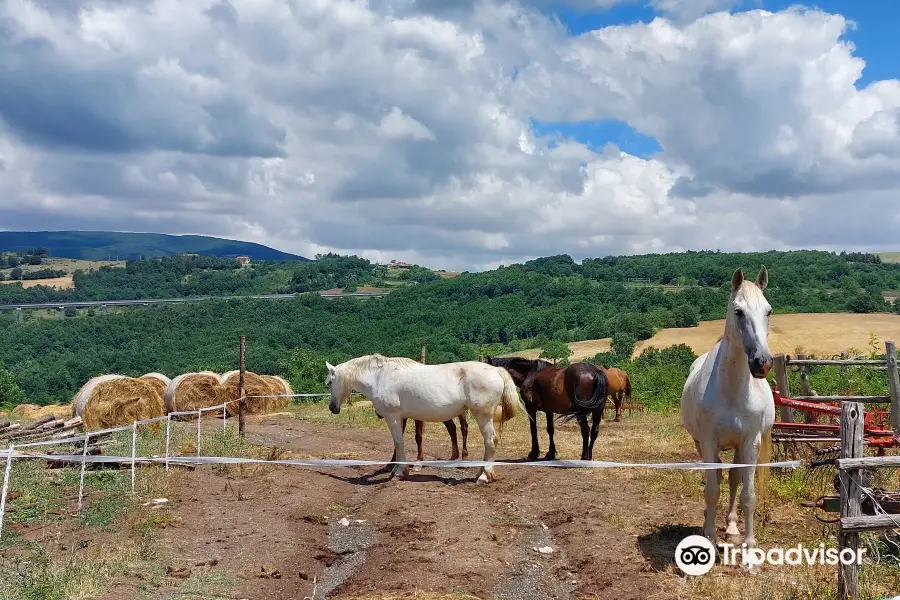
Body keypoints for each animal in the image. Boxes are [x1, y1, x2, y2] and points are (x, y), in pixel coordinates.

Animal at [326, 354, 524, 486]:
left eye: (329, 383)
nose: (332, 407)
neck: (379, 377)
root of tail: (496, 370)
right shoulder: (401, 417)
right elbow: (399, 443)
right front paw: (399, 469)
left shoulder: (393, 416)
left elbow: (399, 442)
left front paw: (399, 472)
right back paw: (479, 473)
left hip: (482, 415)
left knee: (490, 441)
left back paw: (484, 476)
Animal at [684, 268, 772, 556]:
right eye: (738, 311)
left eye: (768, 311)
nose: (762, 363)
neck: (732, 390)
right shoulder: (708, 441)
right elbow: (711, 489)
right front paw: (710, 538)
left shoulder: (750, 442)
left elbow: (748, 494)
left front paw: (750, 544)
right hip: (701, 444)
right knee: (717, 478)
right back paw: (707, 523)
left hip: (737, 446)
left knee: (733, 479)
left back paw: (732, 526)